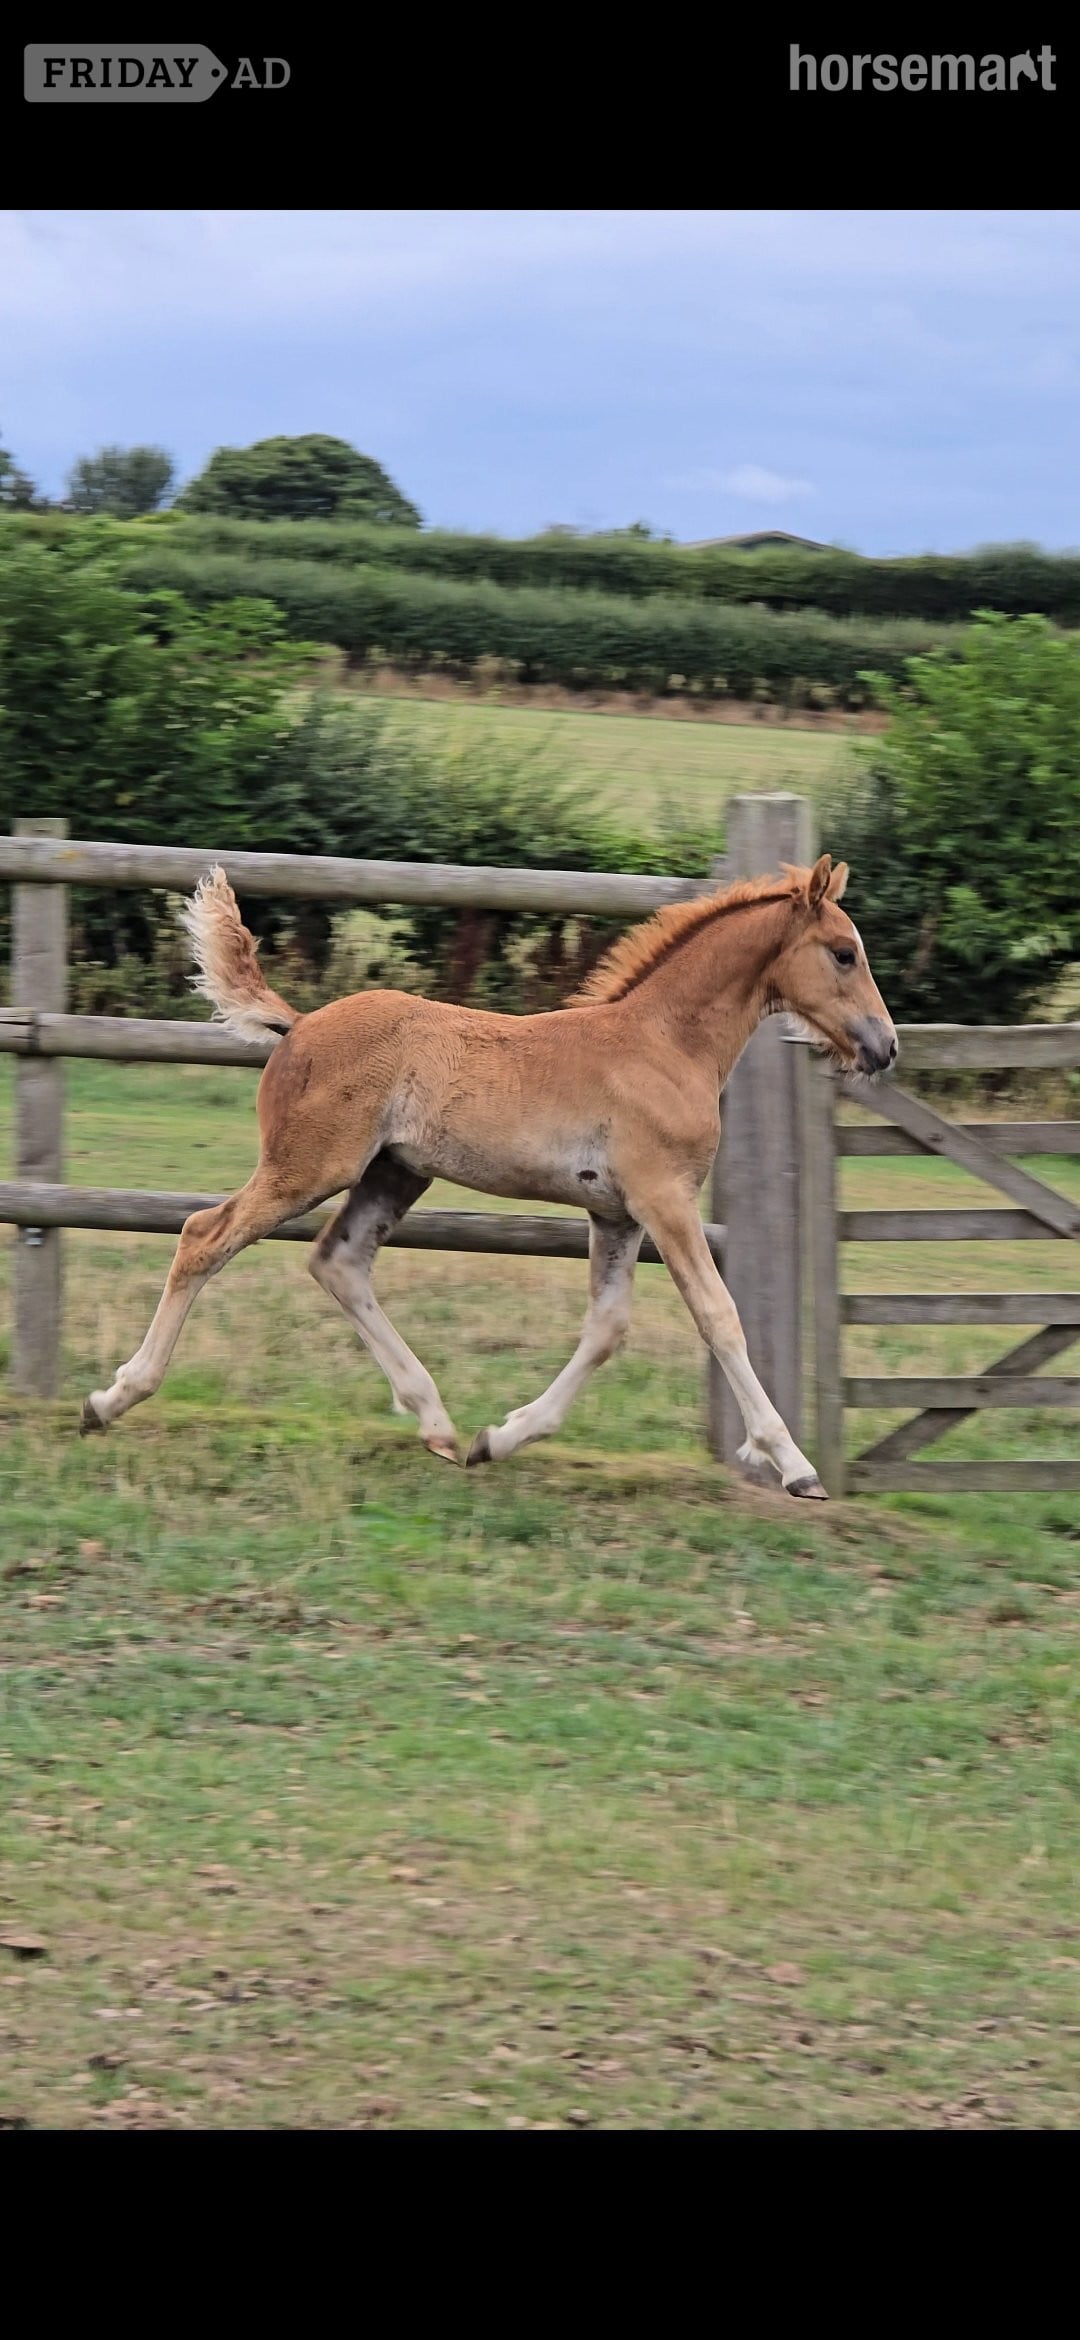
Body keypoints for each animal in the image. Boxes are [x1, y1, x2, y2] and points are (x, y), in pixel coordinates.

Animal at [80, 852, 896, 1497]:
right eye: (843, 952)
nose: (884, 1047)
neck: (664, 1045)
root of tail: (302, 1024)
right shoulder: (664, 1199)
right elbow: (721, 1317)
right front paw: (794, 1464)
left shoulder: (616, 1213)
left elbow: (606, 1329)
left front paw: (496, 1439)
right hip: (308, 1165)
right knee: (204, 1236)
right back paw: (112, 1399)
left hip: (394, 1174)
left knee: (339, 1261)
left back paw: (439, 1425)